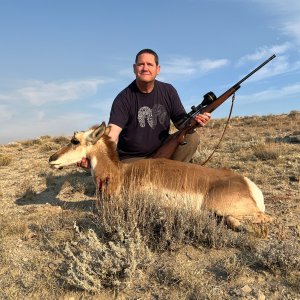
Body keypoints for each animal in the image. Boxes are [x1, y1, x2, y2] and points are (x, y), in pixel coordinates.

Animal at [49, 122, 272, 230]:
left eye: (75, 140)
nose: (52, 159)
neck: (121, 174)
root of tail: (246, 183)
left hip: (218, 207)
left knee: (262, 218)